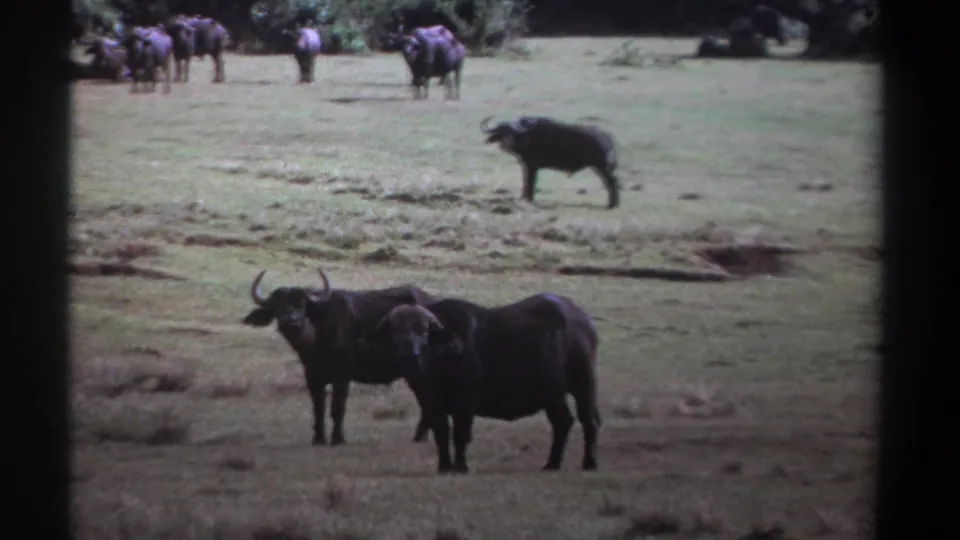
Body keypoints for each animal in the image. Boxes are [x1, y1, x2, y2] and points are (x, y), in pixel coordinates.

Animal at [241, 268, 437, 445]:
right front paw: (318, 438)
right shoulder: (312, 377)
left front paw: (337, 438)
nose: (291, 321)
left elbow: (337, 407)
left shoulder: (342, 376)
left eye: (301, 304)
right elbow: (318, 407)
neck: (316, 337)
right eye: (278, 305)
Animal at [365, 295, 602, 474]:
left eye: (424, 330)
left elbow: (460, 435)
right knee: (563, 422)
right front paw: (444, 466)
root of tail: (583, 320)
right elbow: (441, 433)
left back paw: (589, 463)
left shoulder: (465, 403)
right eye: (395, 330)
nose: (410, 354)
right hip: (552, 394)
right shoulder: (431, 404)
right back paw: (552, 463)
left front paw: (460, 467)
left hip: (583, 383)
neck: (439, 359)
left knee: (588, 421)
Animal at [480, 116, 622, 209]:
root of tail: (607, 138)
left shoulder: (532, 166)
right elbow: (526, 181)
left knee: (613, 181)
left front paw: (528, 199)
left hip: (602, 166)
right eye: (500, 132)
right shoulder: (526, 166)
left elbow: (530, 182)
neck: (528, 137)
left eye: (513, 133)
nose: (506, 144)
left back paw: (612, 204)